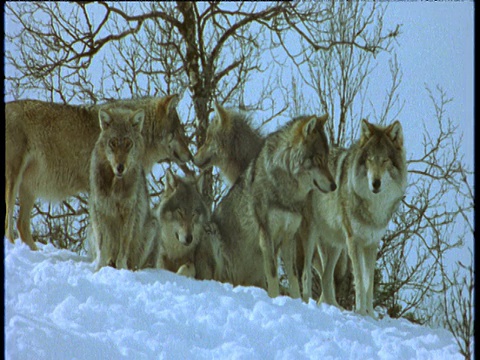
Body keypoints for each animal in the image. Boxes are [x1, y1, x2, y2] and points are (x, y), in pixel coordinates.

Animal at [5, 95, 191, 250]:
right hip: (14, 181)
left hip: (29, 188)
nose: (190, 156)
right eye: (178, 132)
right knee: (9, 223)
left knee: (21, 225)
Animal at [88, 107, 159, 270]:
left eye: (128, 143)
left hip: (153, 225)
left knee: (136, 262)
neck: (115, 184)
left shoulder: (128, 212)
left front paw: (122, 269)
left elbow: (123, 247)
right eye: (113, 143)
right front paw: (99, 269)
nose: (120, 167)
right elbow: (102, 246)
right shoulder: (100, 209)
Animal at [214, 114, 338, 296]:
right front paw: (274, 297)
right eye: (319, 158)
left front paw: (295, 300)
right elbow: (272, 274)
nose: (334, 186)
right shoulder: (266, 235)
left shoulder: (288, 236)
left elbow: (293, 276)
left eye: (327, 160)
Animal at [306, 119, 406, 316]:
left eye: (385, 160)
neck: (374, 206)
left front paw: (370, 315)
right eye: (369, 160)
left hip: (335, 246)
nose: (375, 183)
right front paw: (360, 312)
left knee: (326, 275)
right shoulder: (354, 241)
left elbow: (369, 283)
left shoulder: (371, 243)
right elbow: (359, 281)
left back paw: (332, 307)